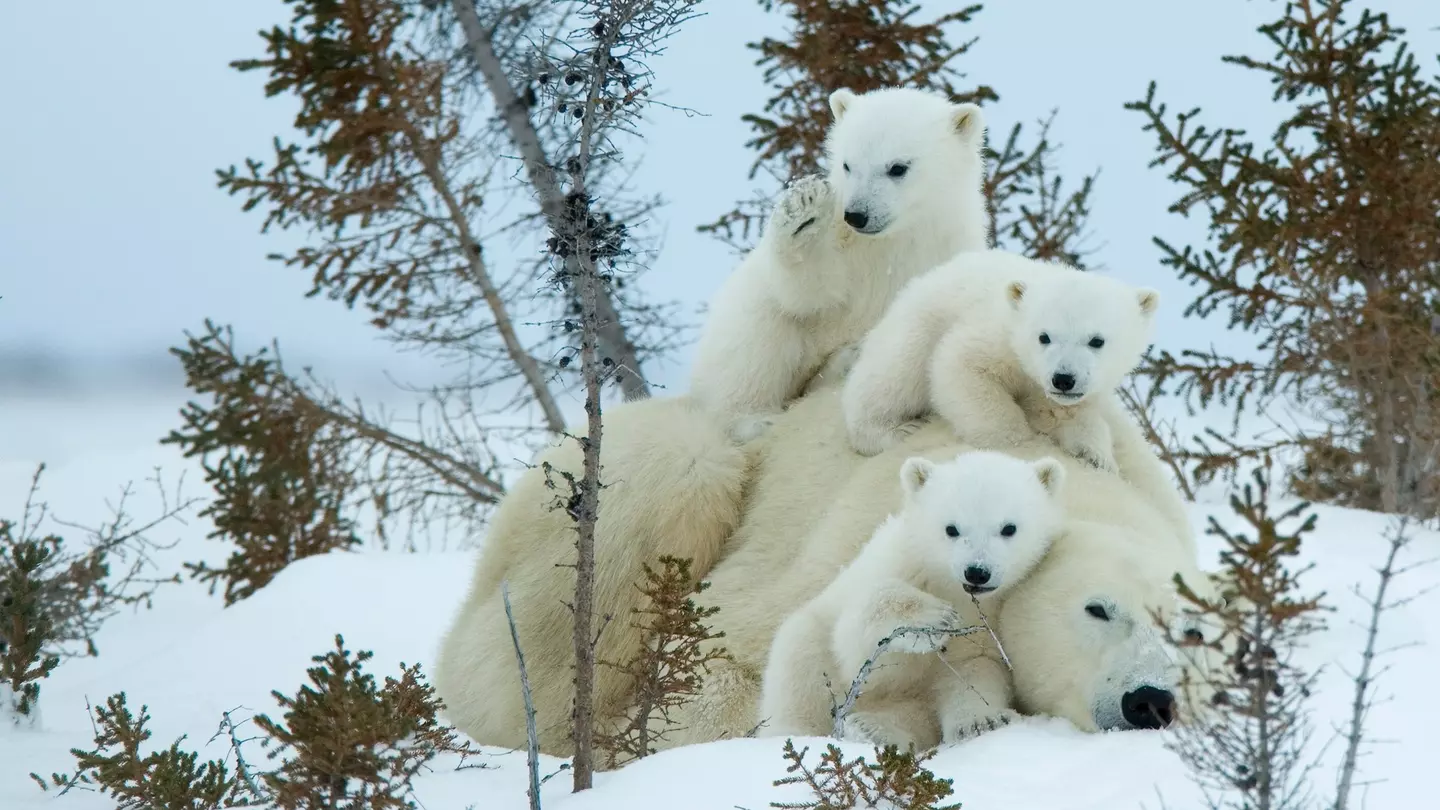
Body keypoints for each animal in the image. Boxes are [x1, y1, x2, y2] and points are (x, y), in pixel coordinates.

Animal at [688, 85, 989, 442]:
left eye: (897, 167)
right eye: (847, 165)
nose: (857, 215)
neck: (893, 241)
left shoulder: (945, 249)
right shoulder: (843, 246)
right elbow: (808, 293)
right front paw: (802, 213)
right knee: (756, 341)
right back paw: (755, 419)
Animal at [758, 450, 1067, 750]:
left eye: (1009, 528)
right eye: (951, 529)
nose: (977, 572)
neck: (950, 587)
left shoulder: (994, 615)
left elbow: (973, 667)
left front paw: (981, 722)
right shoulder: (898, 565)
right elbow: (854, 641)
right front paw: (935, 618)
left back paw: (873, 729)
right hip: (808, 642)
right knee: (801, 668)